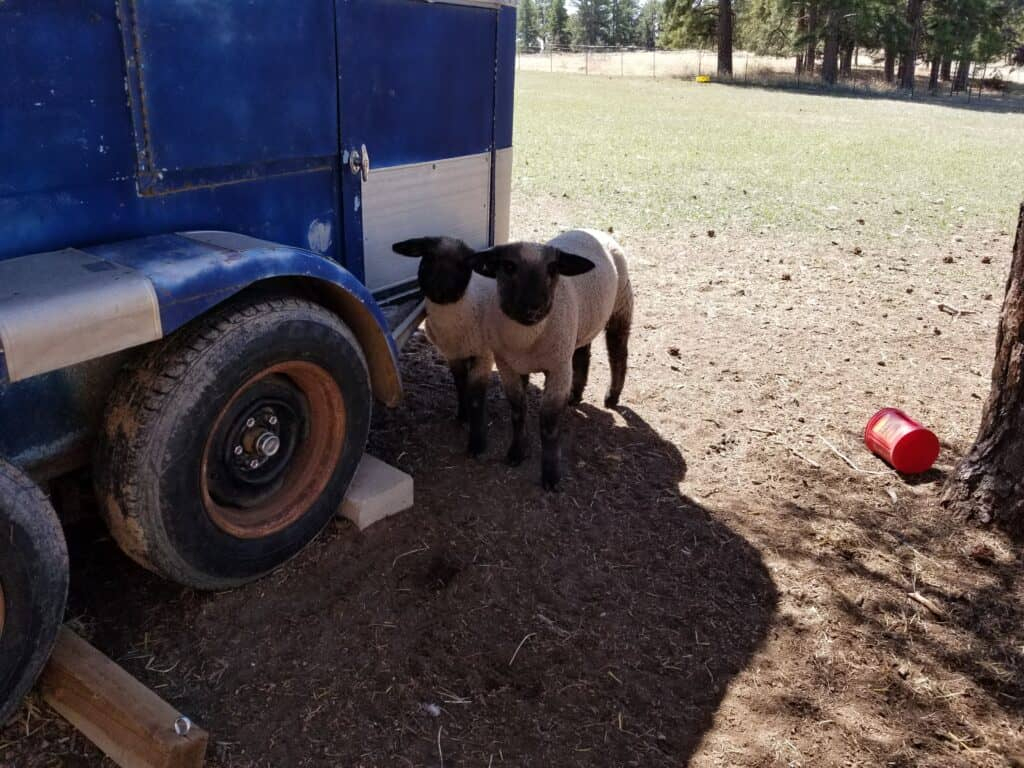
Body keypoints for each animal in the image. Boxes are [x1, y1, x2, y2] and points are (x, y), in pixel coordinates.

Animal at [391, 239, 495, 456]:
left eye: (463, 264)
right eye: (428, 257)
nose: (440, 291)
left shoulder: (483, 354)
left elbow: (476, 398)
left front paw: (477, 445)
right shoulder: (452, 354)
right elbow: (460, 385)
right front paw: (463, 415)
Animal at [471, 230, 630, 493]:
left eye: (553, 268)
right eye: (508, 266)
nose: (533, 307)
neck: (526, 341)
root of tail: (593, 230)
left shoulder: (558, 369)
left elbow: (548, 424)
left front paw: (551, 476)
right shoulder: (508, 367)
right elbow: (518, 411)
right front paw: (516, 453)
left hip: (622, 304)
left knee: (618, 352)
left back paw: (612, 397)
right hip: (579, 327)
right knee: (583, 354)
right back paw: (575, 395)